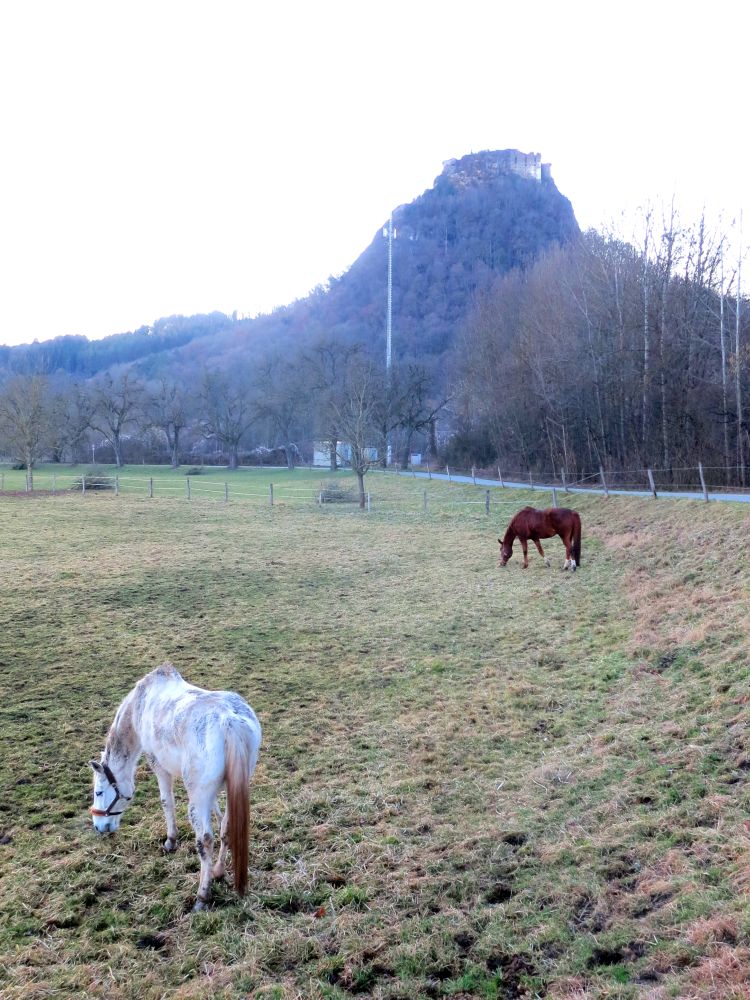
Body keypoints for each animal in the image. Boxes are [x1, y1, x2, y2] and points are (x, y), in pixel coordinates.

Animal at [89, 664, 262, 916]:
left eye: (99, 793)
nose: (99, 827)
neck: (141, 704)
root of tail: (229, 721)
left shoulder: (158, 765)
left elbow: (166, 802)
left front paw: (171, 841)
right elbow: (220, 816)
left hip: (197, 799)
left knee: (205, 840)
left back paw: (202, 897)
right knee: (227, 827)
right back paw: (218, 871)